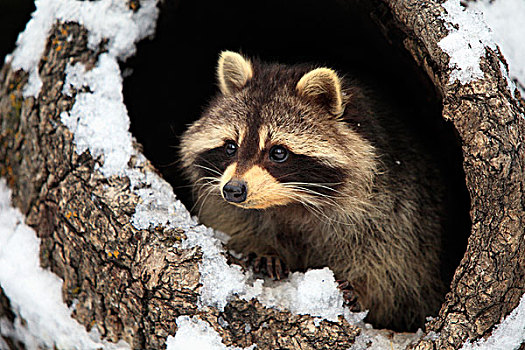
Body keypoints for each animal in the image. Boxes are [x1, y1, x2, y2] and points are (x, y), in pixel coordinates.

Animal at [178, 50, 444, 330]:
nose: (233, 190)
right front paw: (262, 248)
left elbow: (394, 269)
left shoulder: (398, 207)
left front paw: (364, 289)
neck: (291, 203)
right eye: (231, 147)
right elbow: (233, 222)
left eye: (278, 152)